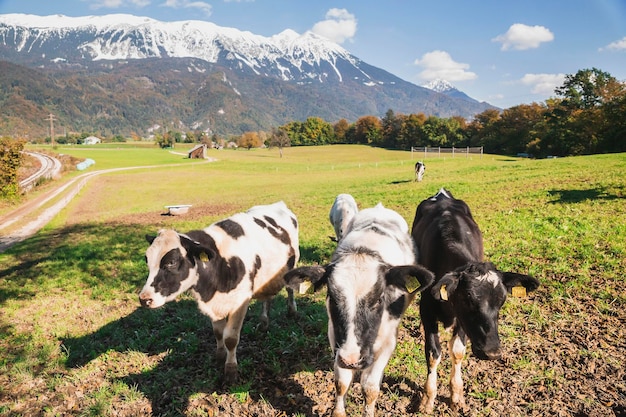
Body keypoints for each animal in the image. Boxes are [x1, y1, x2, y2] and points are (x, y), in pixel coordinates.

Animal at [139, 202, 300, 384]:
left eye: (171, 262)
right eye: (147, 260)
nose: (144, 299)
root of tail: (278, 204)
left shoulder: (240, 302)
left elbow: (230, 338)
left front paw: (230, 370)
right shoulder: (214, 303)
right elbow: (218, 333)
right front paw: (220, 356)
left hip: (291, 267)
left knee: (290, 289)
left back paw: (292, 311)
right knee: (267, 298)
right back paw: (264, 322)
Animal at [286, 202, 432, 416]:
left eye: (379, 299)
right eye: (332, 297)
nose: (351, 359)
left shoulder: (387, 342)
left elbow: (370, 388)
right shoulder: (336, 338)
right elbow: (341, 382)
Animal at [410, 189, 536, 412]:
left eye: (502, 301)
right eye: (467, 299)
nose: (492, 352)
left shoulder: (463, 322)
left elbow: (458, 351)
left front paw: (456, 395)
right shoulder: (427, 309)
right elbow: (433, 353)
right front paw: (427, 400)